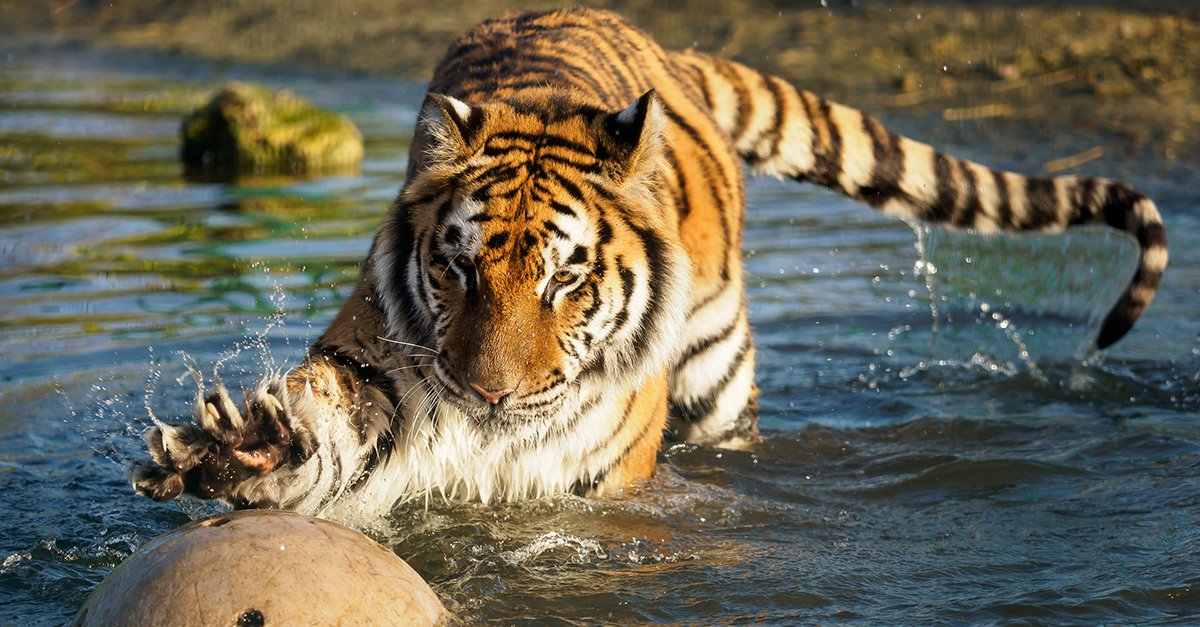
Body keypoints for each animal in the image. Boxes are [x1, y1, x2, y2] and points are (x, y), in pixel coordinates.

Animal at [132, 8, 1167, 518]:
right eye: (457, 270)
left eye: (564, 278)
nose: (490, 394)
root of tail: (669, 50)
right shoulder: (384, 359)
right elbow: (335, 419)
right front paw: (243, 449)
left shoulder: (600, 486)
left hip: (716, 371)